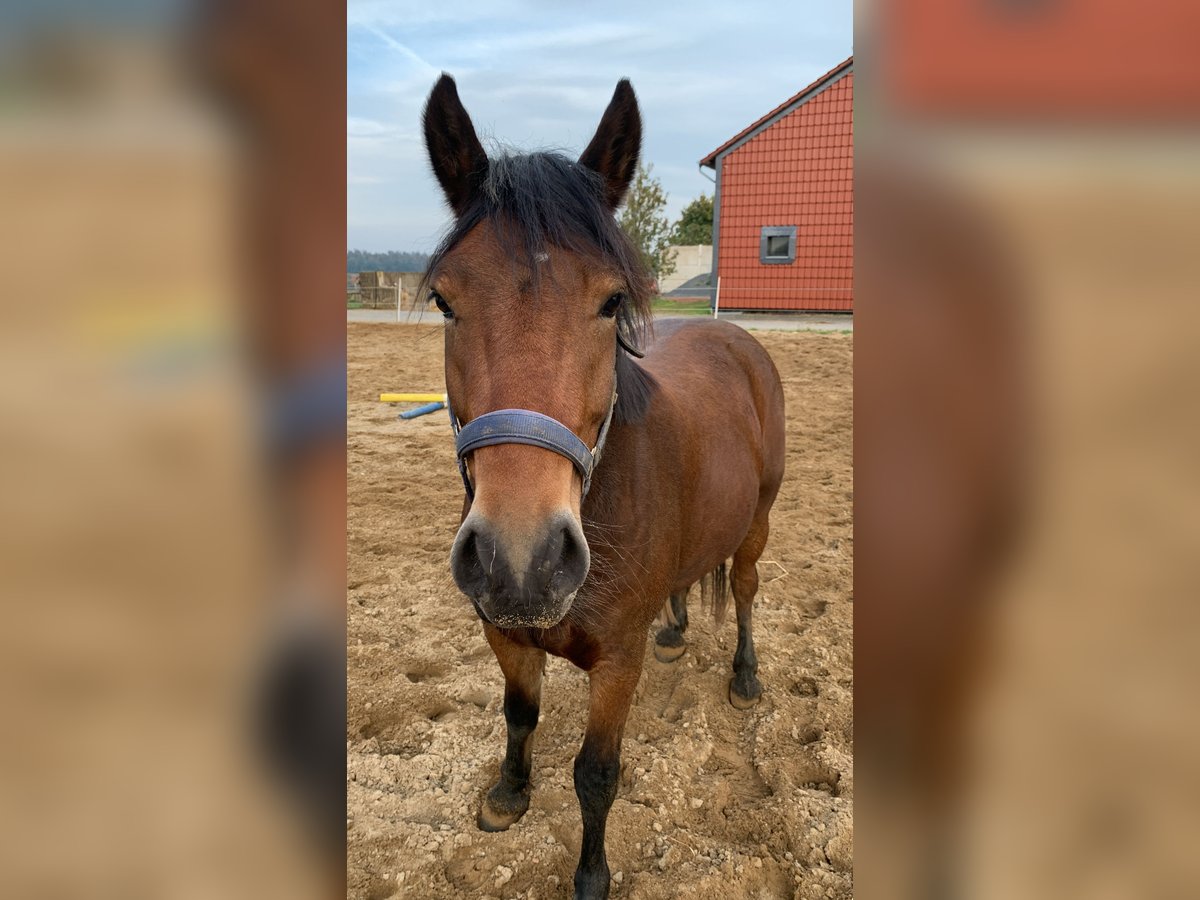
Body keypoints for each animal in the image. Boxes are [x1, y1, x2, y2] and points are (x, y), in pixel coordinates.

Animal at [422, 74, 787, 897]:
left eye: (611, 301)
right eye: (445, 301)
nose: (520, 560)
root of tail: (736, 337)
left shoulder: (619, 663)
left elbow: (595, 774)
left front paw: (591, 877)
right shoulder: (505, 632)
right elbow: (519, 715)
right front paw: (508, 794)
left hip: (758, 523)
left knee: (746, 589)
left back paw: (745, 677)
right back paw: (677, 628)